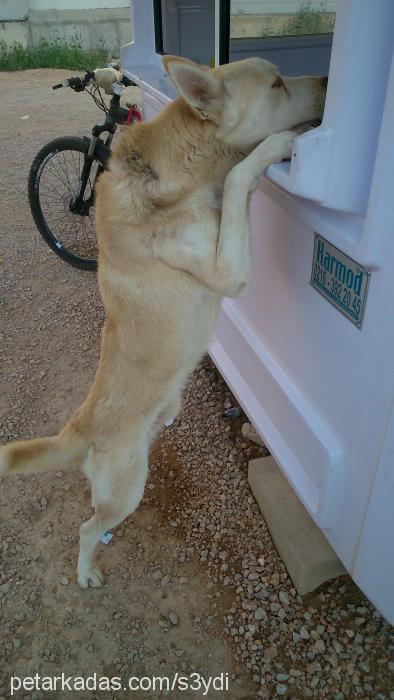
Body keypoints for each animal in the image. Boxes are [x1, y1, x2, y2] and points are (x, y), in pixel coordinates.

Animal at [0, 57, 326, 588]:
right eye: (277, 84)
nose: (327, 80)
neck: (183, 174)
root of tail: (77, 431)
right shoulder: (229, 272)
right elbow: (239, 177)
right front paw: (277, 145)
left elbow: (234, 185)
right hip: (127, 487)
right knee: (89, 527)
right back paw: (87, 570)